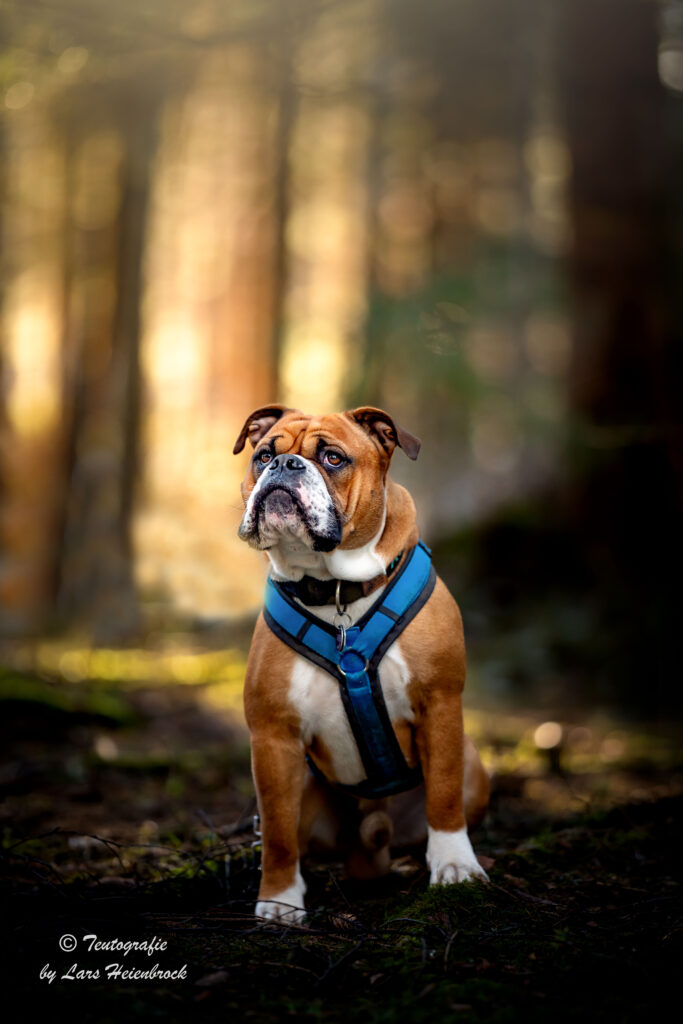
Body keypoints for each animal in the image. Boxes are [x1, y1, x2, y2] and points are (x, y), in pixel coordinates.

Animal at [232, 405, 489, 921]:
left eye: (333, 458)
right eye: (263, 454)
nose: (284, 465)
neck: (335, 590)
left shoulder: (440, 705)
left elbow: (444, 795)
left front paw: (455, 867)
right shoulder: (272, 738)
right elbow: (277, 832)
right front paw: (279, 899)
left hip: (474, 768)